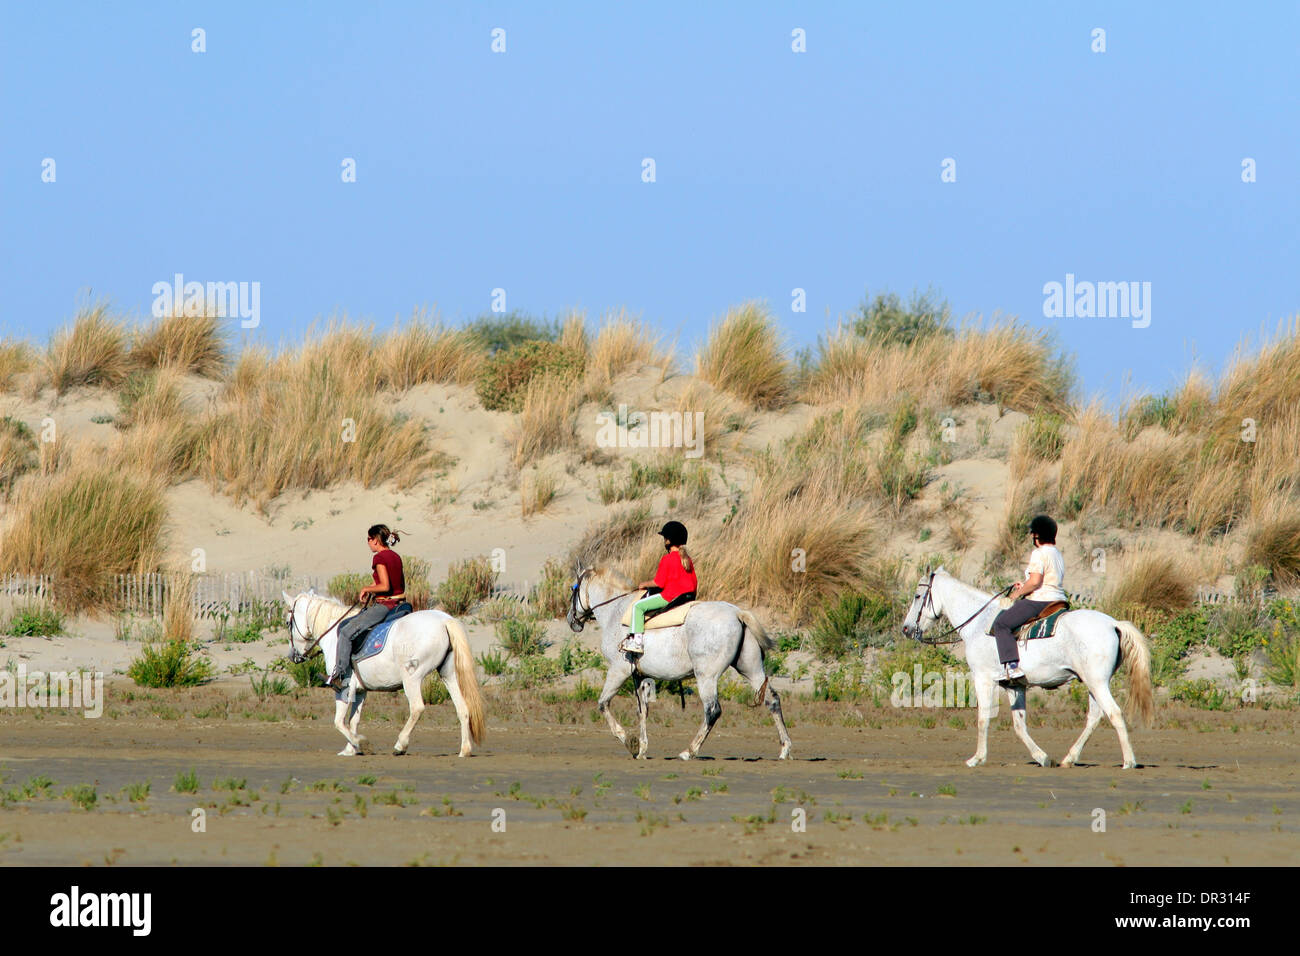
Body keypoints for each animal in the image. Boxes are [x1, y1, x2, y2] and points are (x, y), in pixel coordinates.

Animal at [284, 587, 488, 759]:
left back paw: (400, 744)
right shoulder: (360, 691)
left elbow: (339, 722)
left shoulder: (342, 689)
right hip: (448, 675)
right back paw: (464, 750)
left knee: (417, 708)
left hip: (411, 678)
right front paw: (351, 749)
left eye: (287, 623)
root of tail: (445, 620)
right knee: (462, 708)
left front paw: (361, 744)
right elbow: (353, 721)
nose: (293, 656)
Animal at [569, 567, 790, 764]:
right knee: (772, 700)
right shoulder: (639, 676)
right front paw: (642, 750)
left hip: (706, 677)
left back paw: (688, 752)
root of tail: (737, 613)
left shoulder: (618, 671)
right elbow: (642, 711)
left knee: (712, 710)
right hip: (751, 670)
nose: (572, 620)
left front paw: (629, 742)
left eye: (573, 588)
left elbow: (603, 704)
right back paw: (784, 749)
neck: (617, 610)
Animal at [899, 567, 1154, 770]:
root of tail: (1113, 624)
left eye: (918, 595)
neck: (980, 624)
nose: (906, 629)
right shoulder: (1014, 686)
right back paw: (1069, 759)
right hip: (1093, 683)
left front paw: (977, 758)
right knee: (1095, 717)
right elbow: (1019, 725)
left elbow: (983, 718)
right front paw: (1042, 758)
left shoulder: (983, 679)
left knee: (1114, 713)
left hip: (1097, 682)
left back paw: (1129, 761)